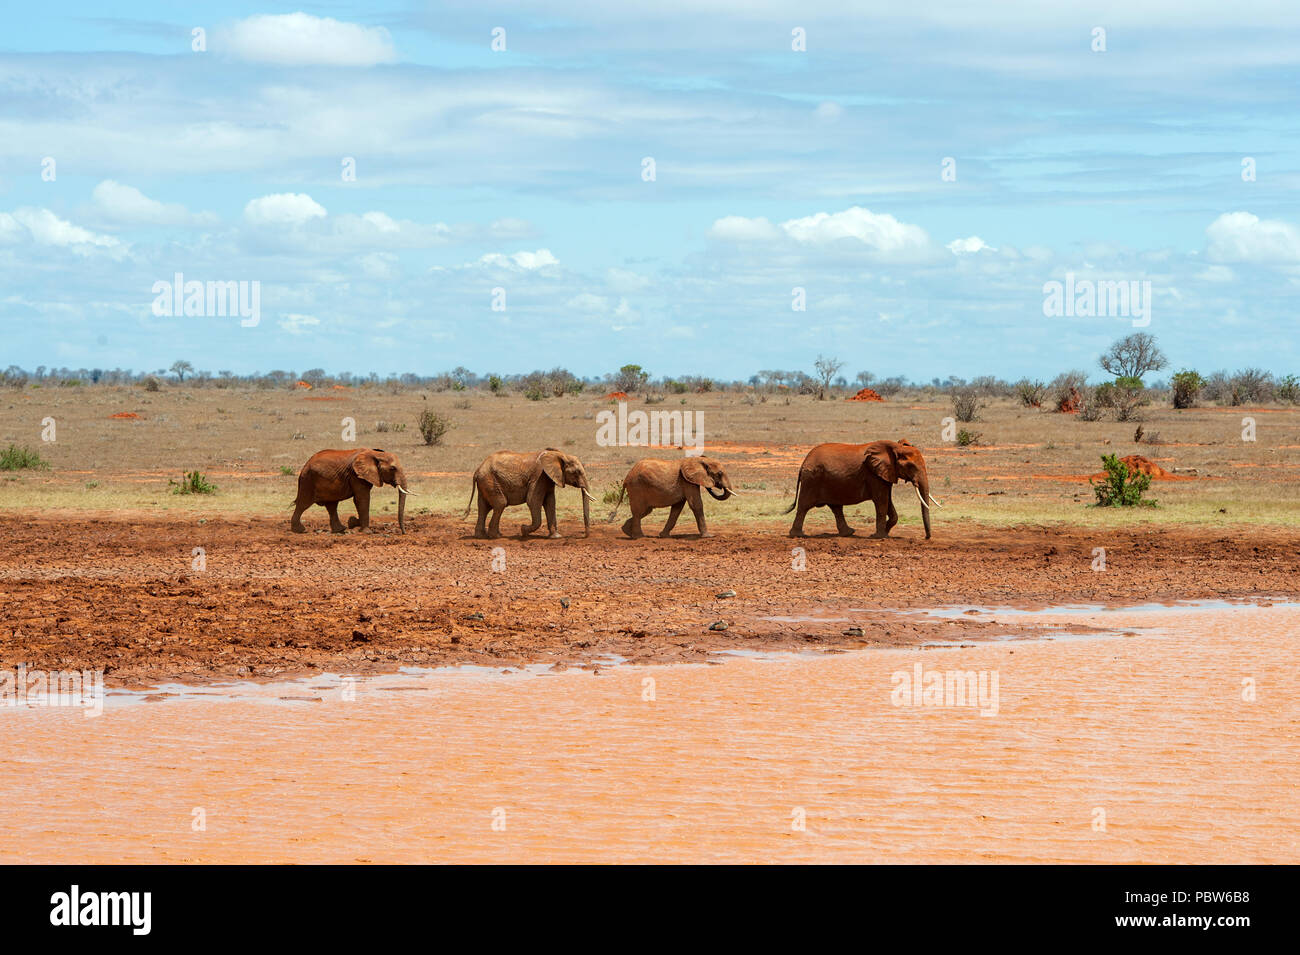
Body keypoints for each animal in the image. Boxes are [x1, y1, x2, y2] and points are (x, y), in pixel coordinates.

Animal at [462, 446, 595, 537]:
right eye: (576, 472)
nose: (584, 535)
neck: (558, 454)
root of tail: (477, 470)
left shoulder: (548, 479)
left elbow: (550, 502)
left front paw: (556, 537)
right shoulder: (539, 477)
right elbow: (533, 501)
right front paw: (523, 530)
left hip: (485, 482)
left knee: (484, 507)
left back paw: (481, 536)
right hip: (490, 481)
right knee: (500, 504)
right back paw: (497, 536)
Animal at [611, 454, 743, 537]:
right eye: (719, 473)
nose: (712, 486)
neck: (698, 460)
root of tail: (626, 478)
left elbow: (677, 508)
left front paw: (663, 536)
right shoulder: (687, 481)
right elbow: (696, 504)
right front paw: (709, 536)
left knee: (644, 511)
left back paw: (627, 532)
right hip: (636, 487)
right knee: (639, 511)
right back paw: (639, 537)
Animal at [780, 439, 946, 537]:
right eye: (911, 466)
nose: (927, 538)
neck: (895, 447)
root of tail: (803, 462)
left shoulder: (884, 474)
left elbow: (888, 501)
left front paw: (885, 533)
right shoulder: (874, 475)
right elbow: (881, 501)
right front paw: (879, 537)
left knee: (836, 508)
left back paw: (849, 533)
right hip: (812, 479)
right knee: (804, 506)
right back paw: (797, 535)